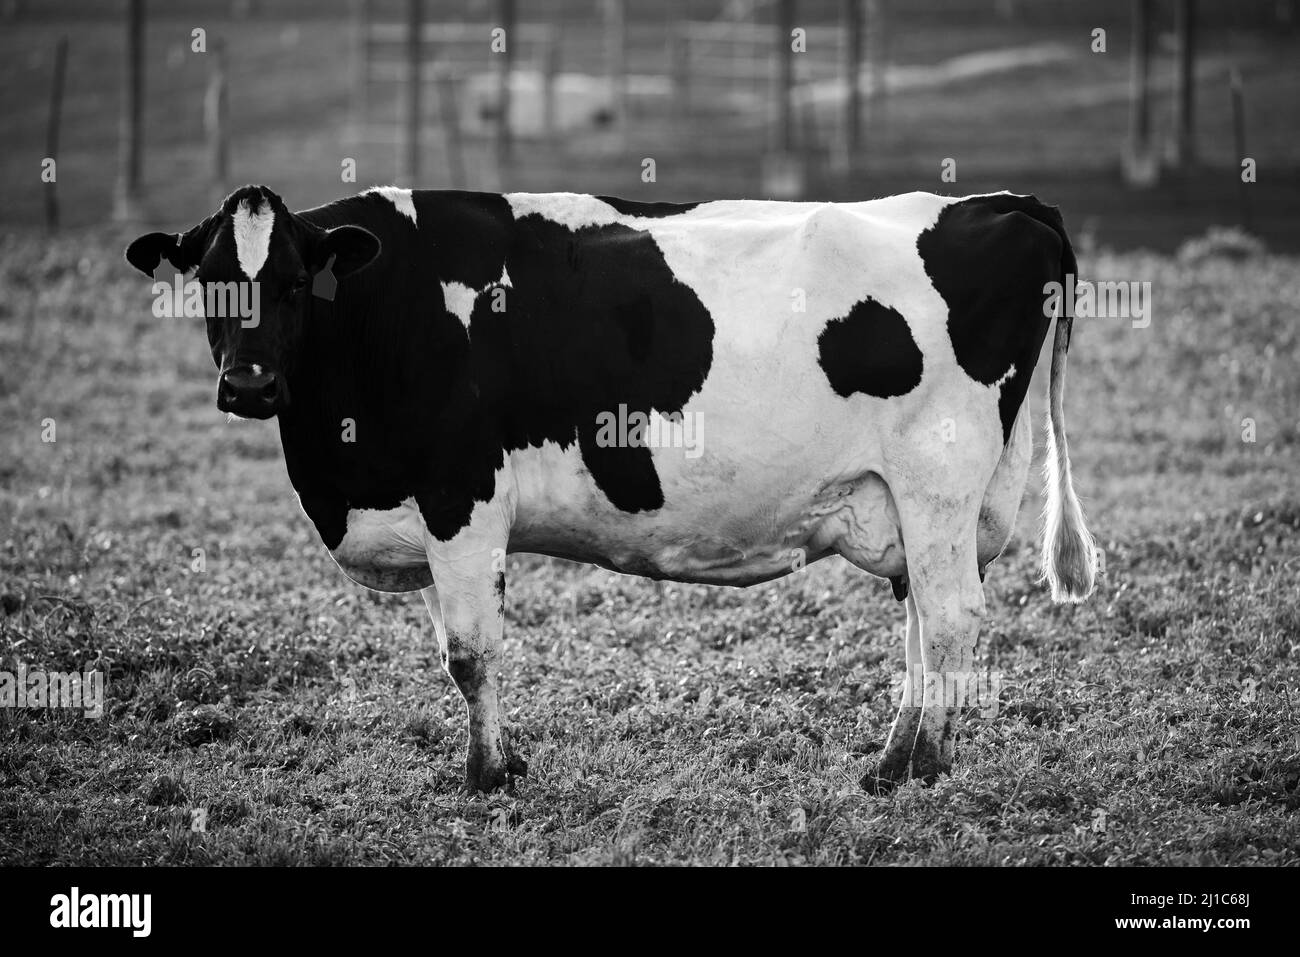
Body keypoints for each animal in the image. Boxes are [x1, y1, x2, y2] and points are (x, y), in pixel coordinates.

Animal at [125, 184, 1098, 793]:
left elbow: (469, 651)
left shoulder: (462, 494)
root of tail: (1005, 203)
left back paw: (919, 765)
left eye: (294, 281)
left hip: (938, 479)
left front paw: (485, 778)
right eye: (212, 279)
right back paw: (897, 755)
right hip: (918, 500)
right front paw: (504, 763)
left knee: (953, 619)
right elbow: (459, 648)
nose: (250, 383)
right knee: (924, 623)